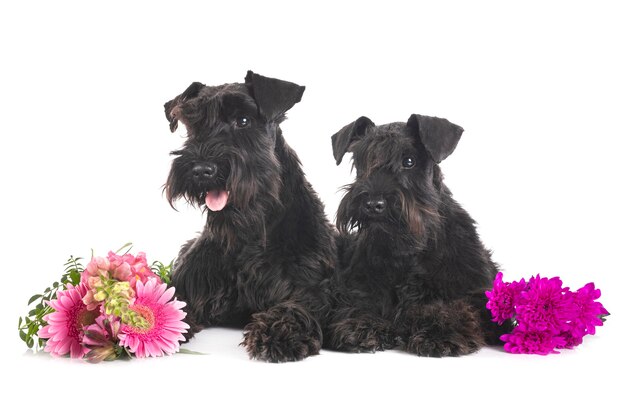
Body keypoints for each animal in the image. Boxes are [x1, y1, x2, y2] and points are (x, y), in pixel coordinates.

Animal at [163, 71, 334, 364]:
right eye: (192, 124)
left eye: (243, 120)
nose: (201, 170)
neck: (250, 231)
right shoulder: (187, 281)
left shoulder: (309, 286)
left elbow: (296, 306)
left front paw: (278, 331)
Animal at [324, 113, 510, 356]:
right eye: (359, 161)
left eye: (409, 161)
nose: (373, 204)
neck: (409, 249)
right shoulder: (358, 287)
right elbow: (359, 304)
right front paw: (362, 325)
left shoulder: (475, 292)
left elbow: (455, 307)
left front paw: (439, 330)